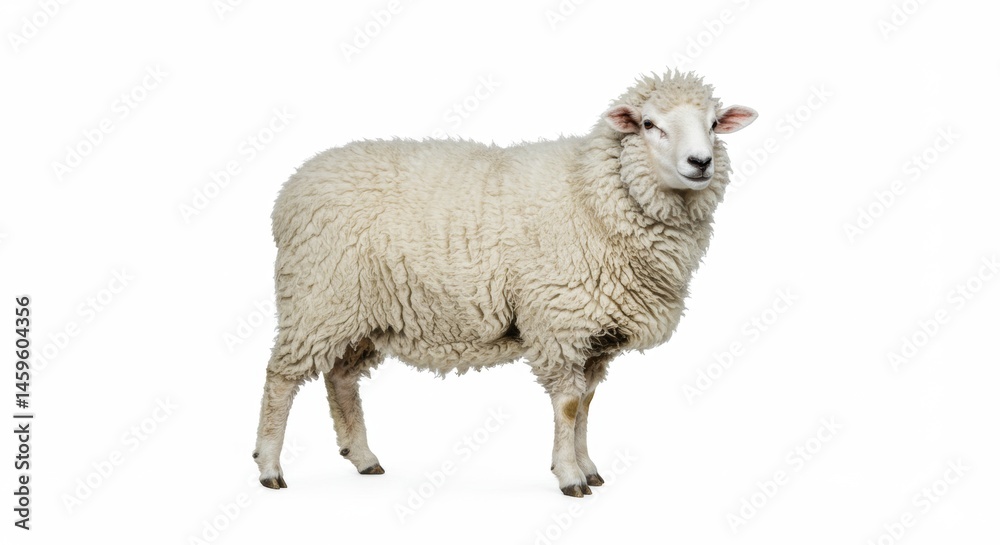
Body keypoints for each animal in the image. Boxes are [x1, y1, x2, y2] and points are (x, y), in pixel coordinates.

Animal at [253, 70, 757, 497]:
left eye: (714, 124)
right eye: (649, 124)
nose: (701, 162)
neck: (593, 194)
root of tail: (290, 190)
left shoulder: (595, 335)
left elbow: (587, 404)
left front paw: (589, 467)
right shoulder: (560, 324)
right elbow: (569, 406)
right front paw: (570, 477)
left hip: (363, 312)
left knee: (340, 378)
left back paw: (362, 457)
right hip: (318, 297)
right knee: (280, 378)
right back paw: (269, 467)